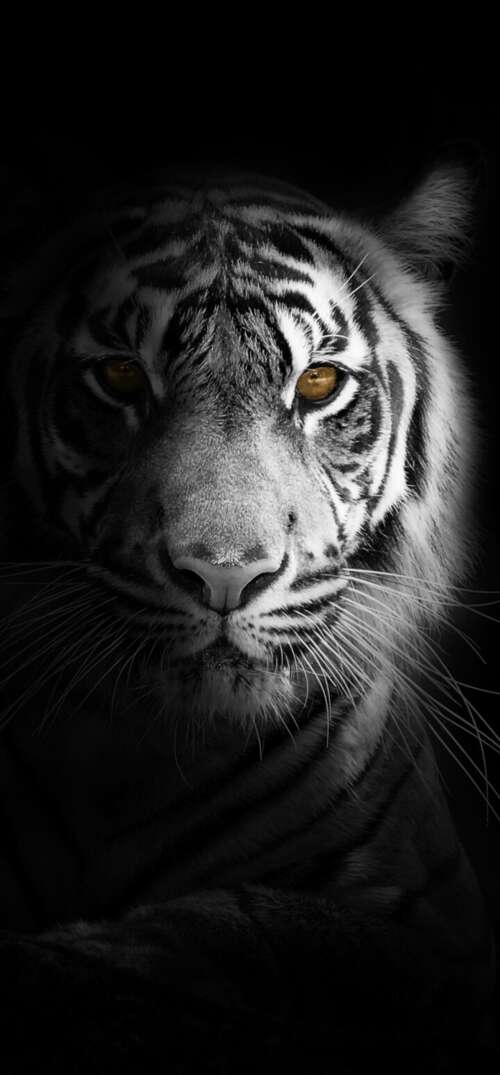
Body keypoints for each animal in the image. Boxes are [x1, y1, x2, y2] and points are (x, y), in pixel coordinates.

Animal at [0, 164, 495, 1073]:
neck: (140, 757)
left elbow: (262, 929)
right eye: (120, 377)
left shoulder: (443, 936)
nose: (225, 573)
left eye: (318, 384)